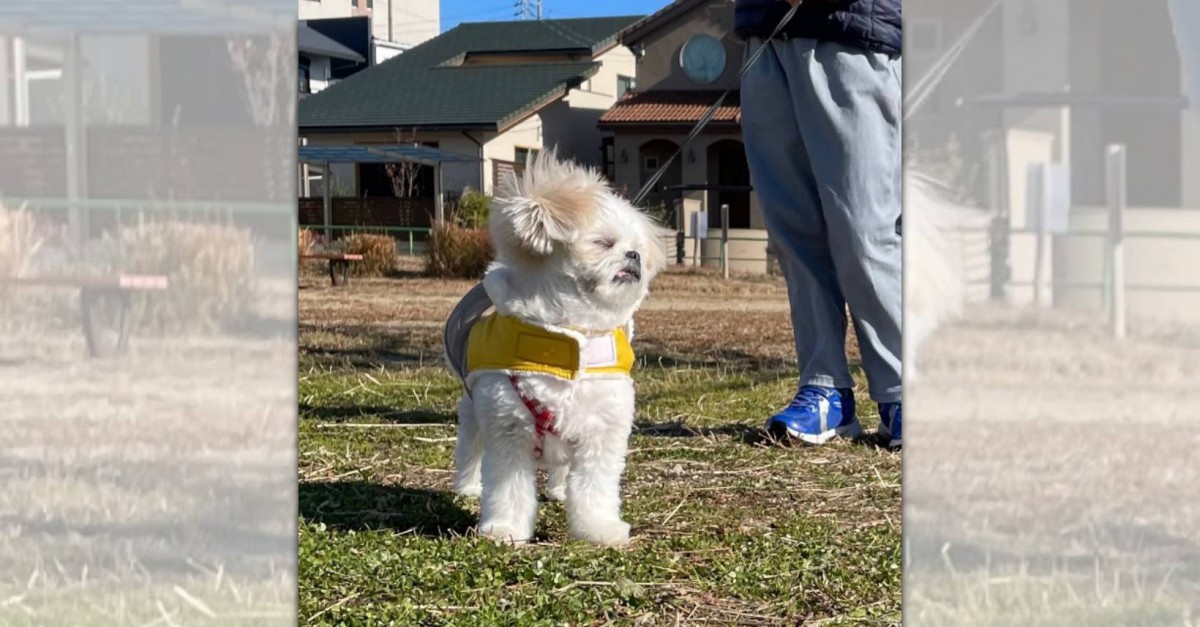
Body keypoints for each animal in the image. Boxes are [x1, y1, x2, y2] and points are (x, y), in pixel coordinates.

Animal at [446, 150, 672, 540]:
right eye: (604, 242)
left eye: (639, 249)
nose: (634, 256)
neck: (570, 337)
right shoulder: (507, 433)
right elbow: (509, 489)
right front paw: (505, 528)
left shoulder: (602, 434)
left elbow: (595, 489)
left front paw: (599, 528)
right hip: (474, 415)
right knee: (470, 451)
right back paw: (467, 487)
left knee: (562, 469)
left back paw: (558, 490)